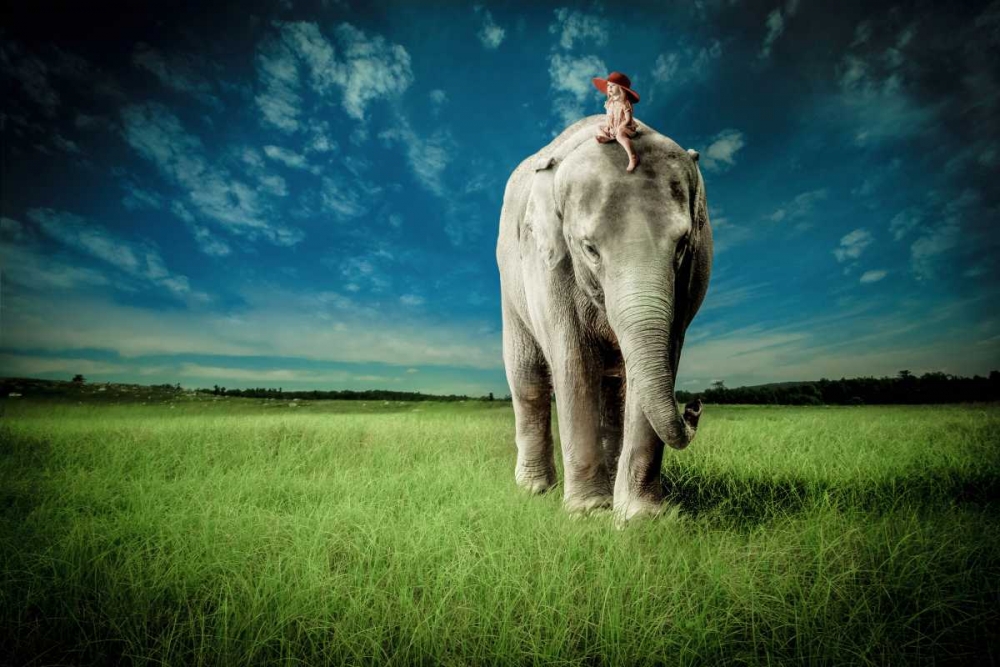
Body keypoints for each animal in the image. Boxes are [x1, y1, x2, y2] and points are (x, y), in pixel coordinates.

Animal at [495, 115, 712, 521]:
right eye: (590, 249)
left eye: (681, 245)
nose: (694, 406)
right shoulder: (547, 266)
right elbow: (572, 361)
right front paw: (589, 513)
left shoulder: (690, 278)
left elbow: (664, 356)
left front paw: (640, 518)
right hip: (510, 286)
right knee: (527, 377)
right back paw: (535, 490)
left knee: (615, 392)